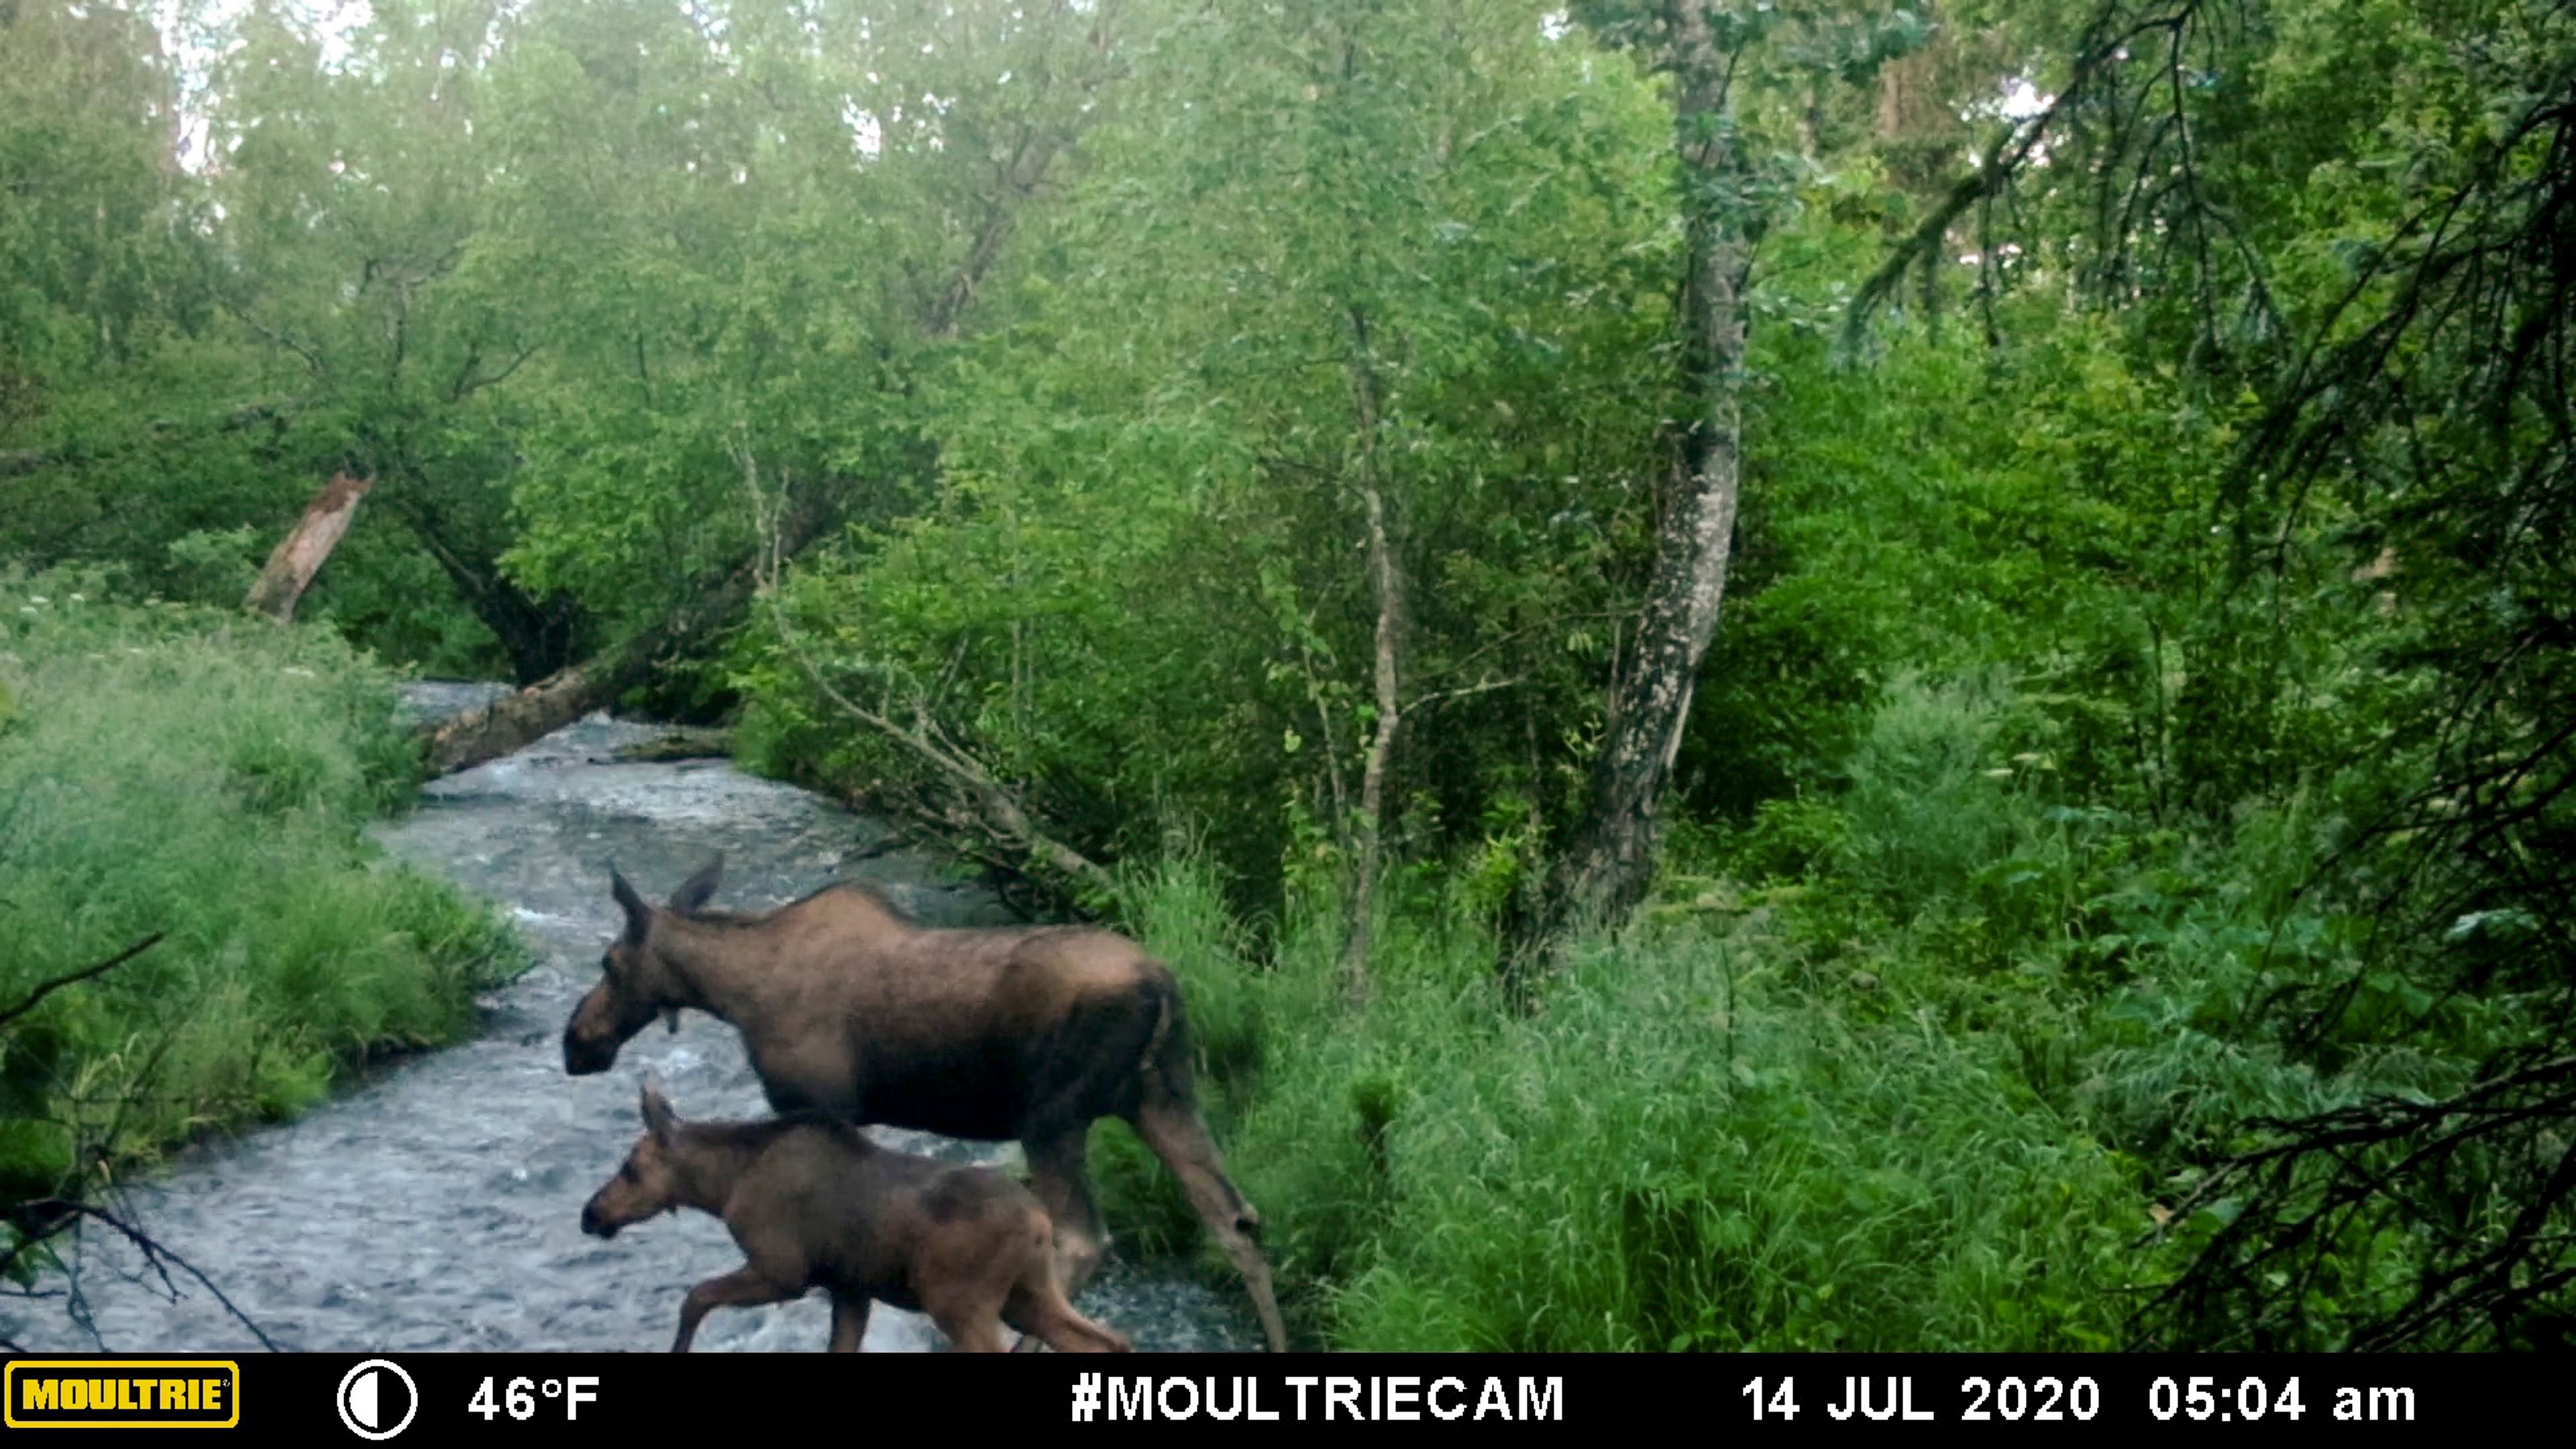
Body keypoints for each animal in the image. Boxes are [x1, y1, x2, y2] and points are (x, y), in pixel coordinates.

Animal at [592, 1077, 1138, 1350]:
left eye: (629, 1168)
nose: (591, 1214)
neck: (724, 1184)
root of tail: (1042, 1223)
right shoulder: (850, 1289)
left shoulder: (783, 1272)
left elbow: (695, 1298)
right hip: (1027, 1295)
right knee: (1107, 1342)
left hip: (959, 1301)